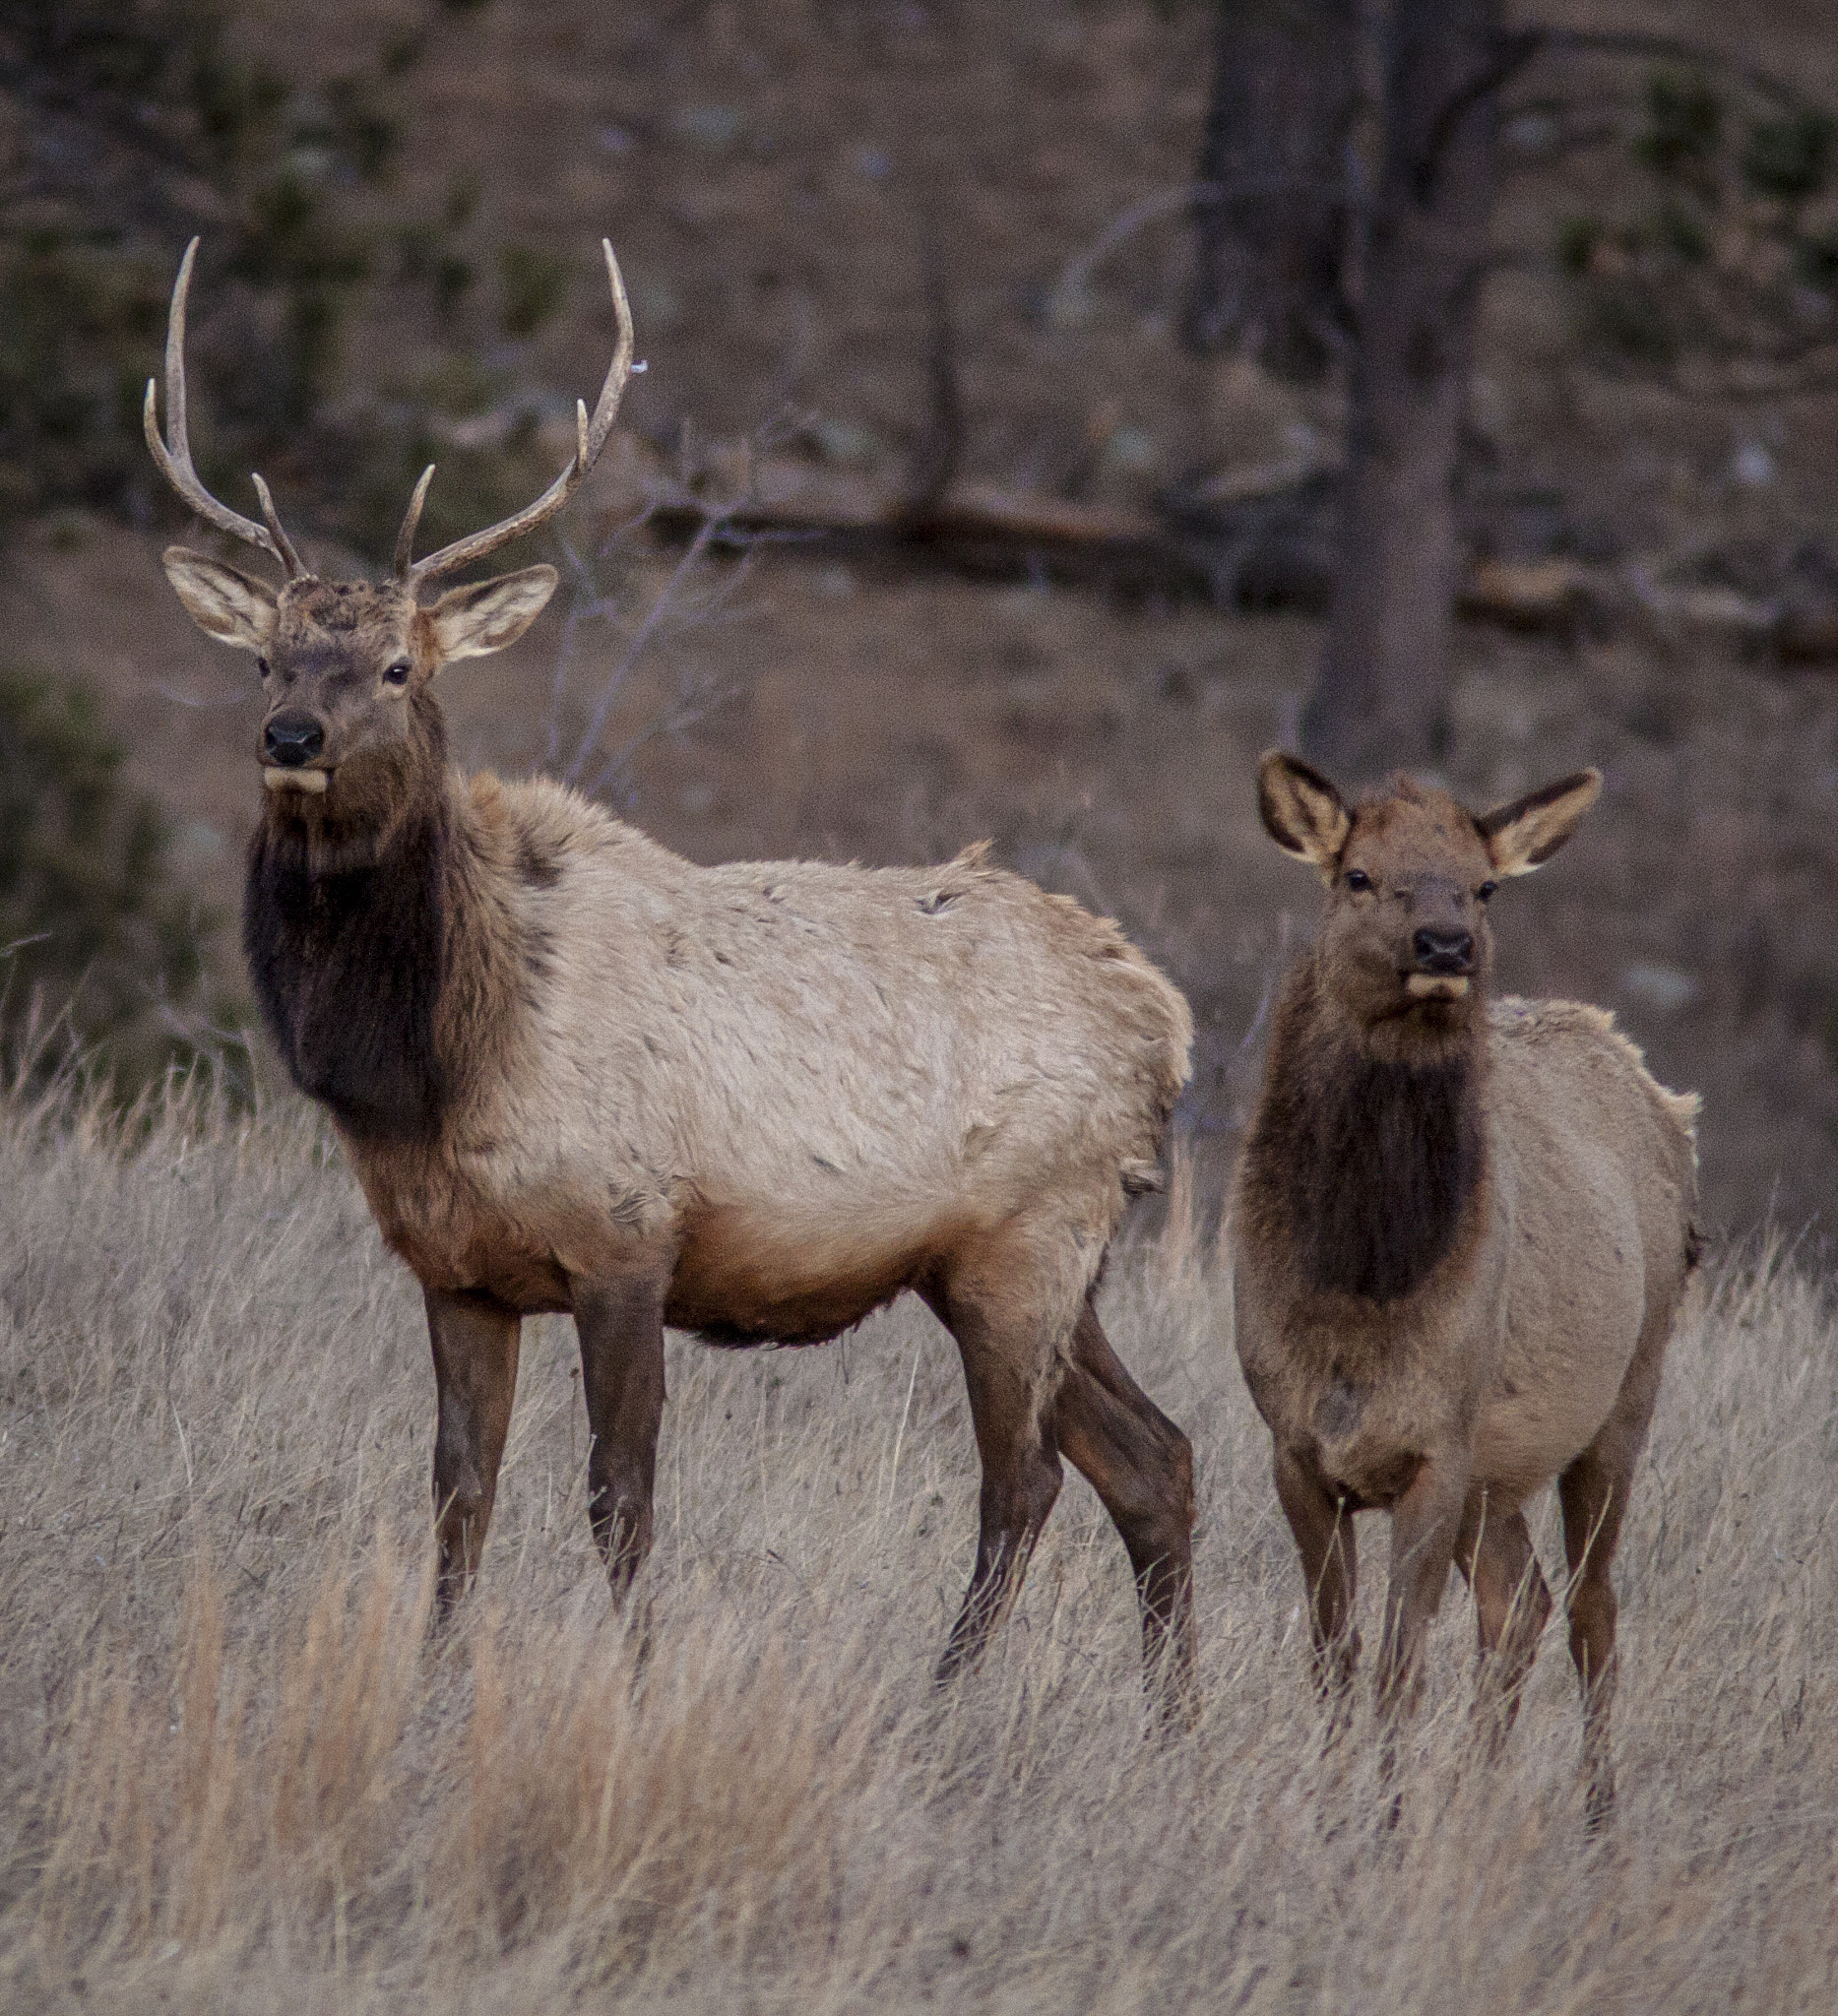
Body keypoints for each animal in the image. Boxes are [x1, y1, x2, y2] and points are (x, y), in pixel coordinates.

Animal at [144, 239, 1199, 1704]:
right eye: (263, 656)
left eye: (400, 664)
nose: (290, 735)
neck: (434, 1064)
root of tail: (1161, 1021)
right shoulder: (455, 1269)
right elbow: (458, 1488)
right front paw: (432, 1680)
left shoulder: (626, 1234)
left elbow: (618, 1493)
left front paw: (637, 1682)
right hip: (1038, 1257)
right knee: (1156, 1458)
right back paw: (1174, 1719)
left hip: (1027, 1237)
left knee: (1028, 1478)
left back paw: (943, 1701)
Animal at [1230, 752, 1699, 1821]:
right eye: (1357, 875)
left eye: (1484, 887)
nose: (1444, 943)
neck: (1360, 1296)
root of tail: (1663, 1099)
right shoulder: (1294, 1446)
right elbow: (1333, 1656)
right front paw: (1335, 1810)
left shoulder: (1435, 1450)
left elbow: (1397, 1668)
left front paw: (1387, 1821)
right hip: (1499, 1471)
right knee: (1518, 1602)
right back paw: (1482, 1793)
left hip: (1622, 1400)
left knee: (1589, 1610)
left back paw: (1597, 1819)